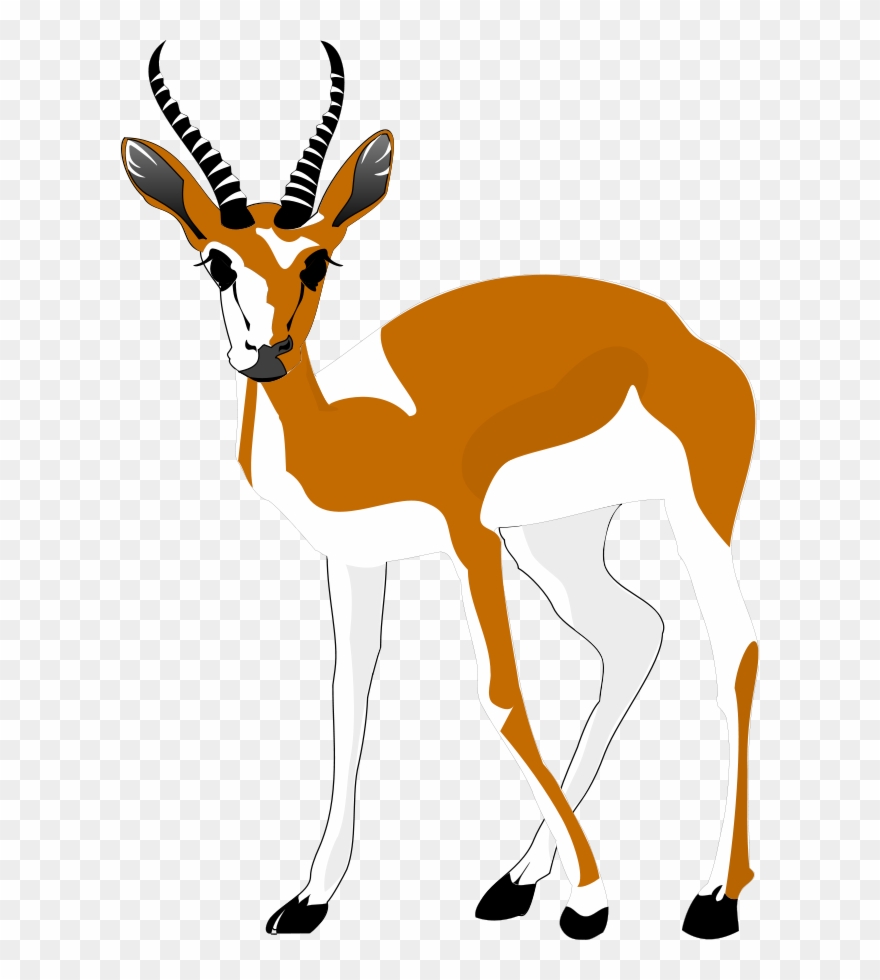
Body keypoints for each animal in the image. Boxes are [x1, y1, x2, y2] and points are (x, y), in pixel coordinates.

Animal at [121, 41, 759, 941]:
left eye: (317, 259)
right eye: (217, 260)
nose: (266, 353)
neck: (349, 435)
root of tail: (690, 341)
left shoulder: (468, 535)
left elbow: (503, 698)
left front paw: (594, 900)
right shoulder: (354, 559)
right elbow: (348, 701)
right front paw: (308, 899)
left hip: (694, 507)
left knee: (735, 647)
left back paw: (713, 898)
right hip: (556, 539)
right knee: (635, 634)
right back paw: (520, 881)